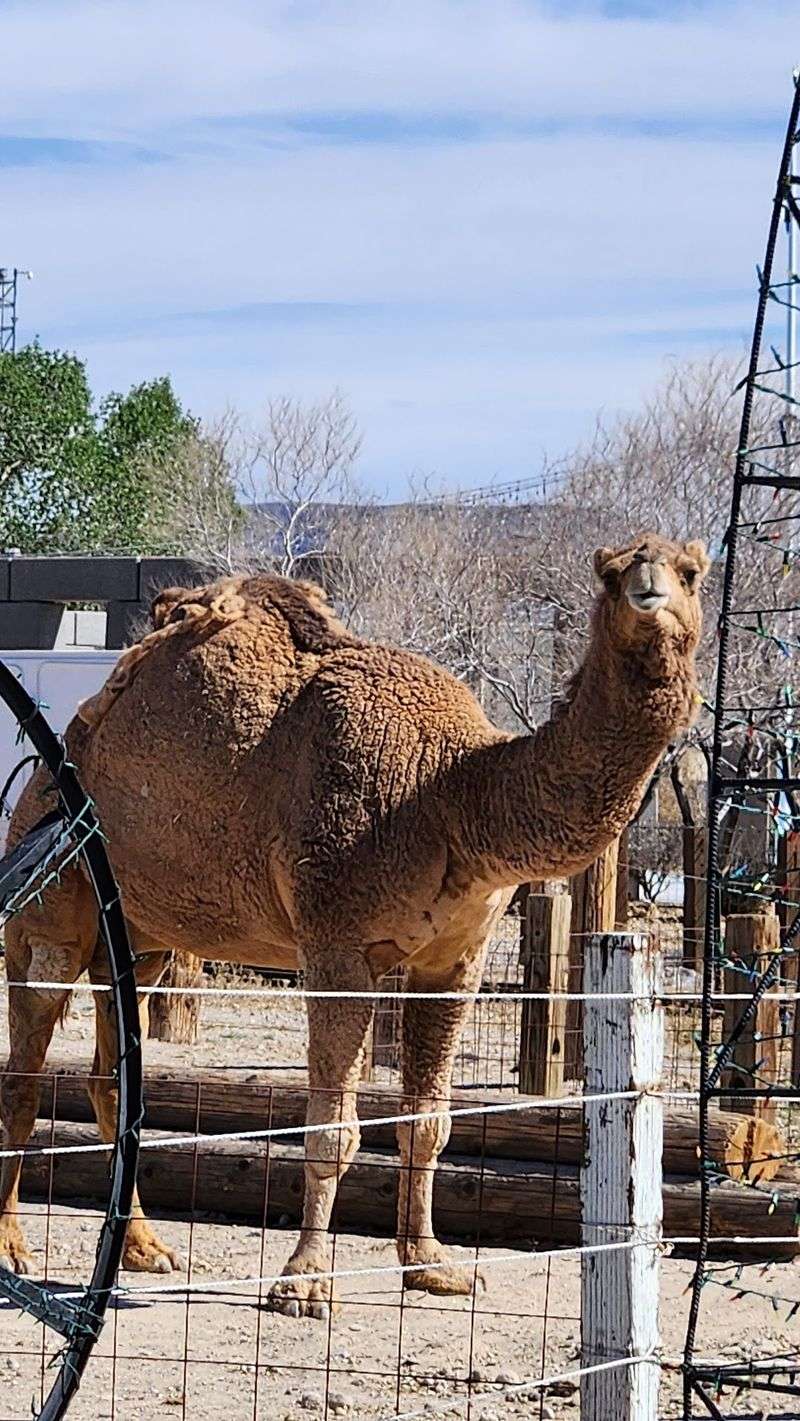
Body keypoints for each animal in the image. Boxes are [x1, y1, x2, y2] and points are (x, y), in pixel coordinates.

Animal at [0, 532, 709, 1319]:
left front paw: (433, 1264)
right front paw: (304, 1281)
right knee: (22, 1080)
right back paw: (15, 1247)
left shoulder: (454, 959)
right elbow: (331, 1128)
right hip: (48, 914)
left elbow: (429, 1122)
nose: (648, 588)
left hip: (141, 939)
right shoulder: (336, 941)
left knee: (110, 1078)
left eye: (691, 572)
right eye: (612, 575)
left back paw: (145, 1248)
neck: (447, 790)